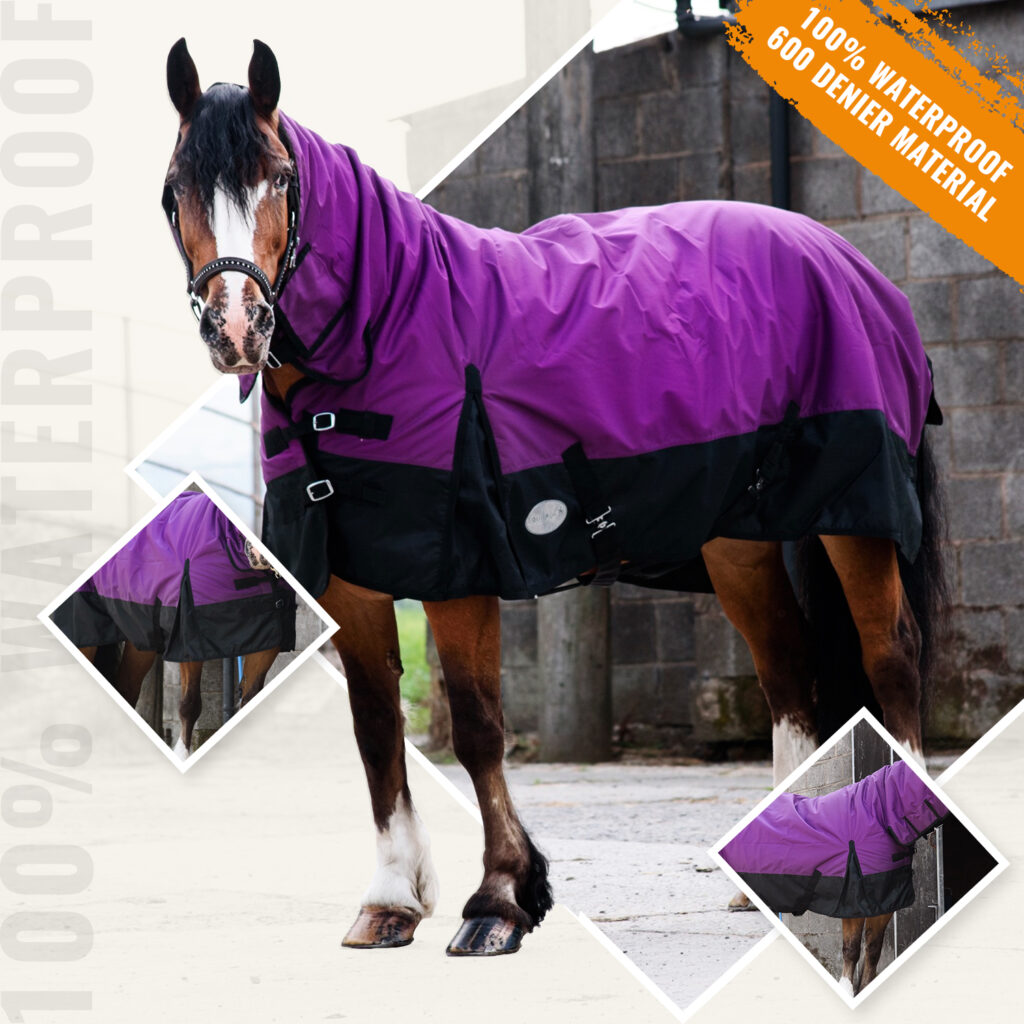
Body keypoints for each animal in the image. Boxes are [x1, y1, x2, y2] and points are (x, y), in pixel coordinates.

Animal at [52, 490, 297, 761]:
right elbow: (190, 703)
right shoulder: (189, 638)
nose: (261, 553)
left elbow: (251, 696)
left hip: (142, 640)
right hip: (86, 631)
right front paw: (182, 754)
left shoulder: (267, 639)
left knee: (126, 688)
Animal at [162, 39, 947, 955]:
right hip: (739, 540)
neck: (388, 321)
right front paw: (392, 900)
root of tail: (853, 267)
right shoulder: (351, 583)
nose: (236, 328)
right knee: (788, 673)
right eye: (175, 189)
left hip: (856, 518)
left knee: (891, 656)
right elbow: (376, 730)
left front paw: (499, 901)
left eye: (281, 177)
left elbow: (476, 727)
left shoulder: (458, 570)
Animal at [718, 760, 948, 995]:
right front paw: (847, 989)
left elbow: (873, 948)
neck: (878, 813)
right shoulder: (853, 902)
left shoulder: (884, 902)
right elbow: (851, 948)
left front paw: (865, 987)